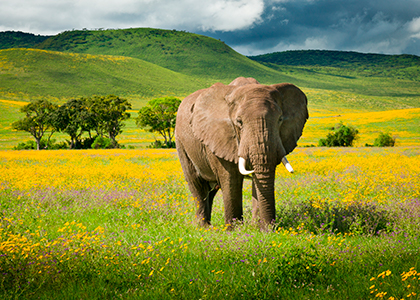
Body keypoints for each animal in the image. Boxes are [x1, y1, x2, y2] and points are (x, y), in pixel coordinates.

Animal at [175, 77, 308, 227]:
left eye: (280, 119)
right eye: (239, 122)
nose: (270, 228)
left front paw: (255, 227)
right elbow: (231, 180)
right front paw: (235, 229)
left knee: (211, 190)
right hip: (181, 144)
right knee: (197, 186)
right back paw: (204, 227)